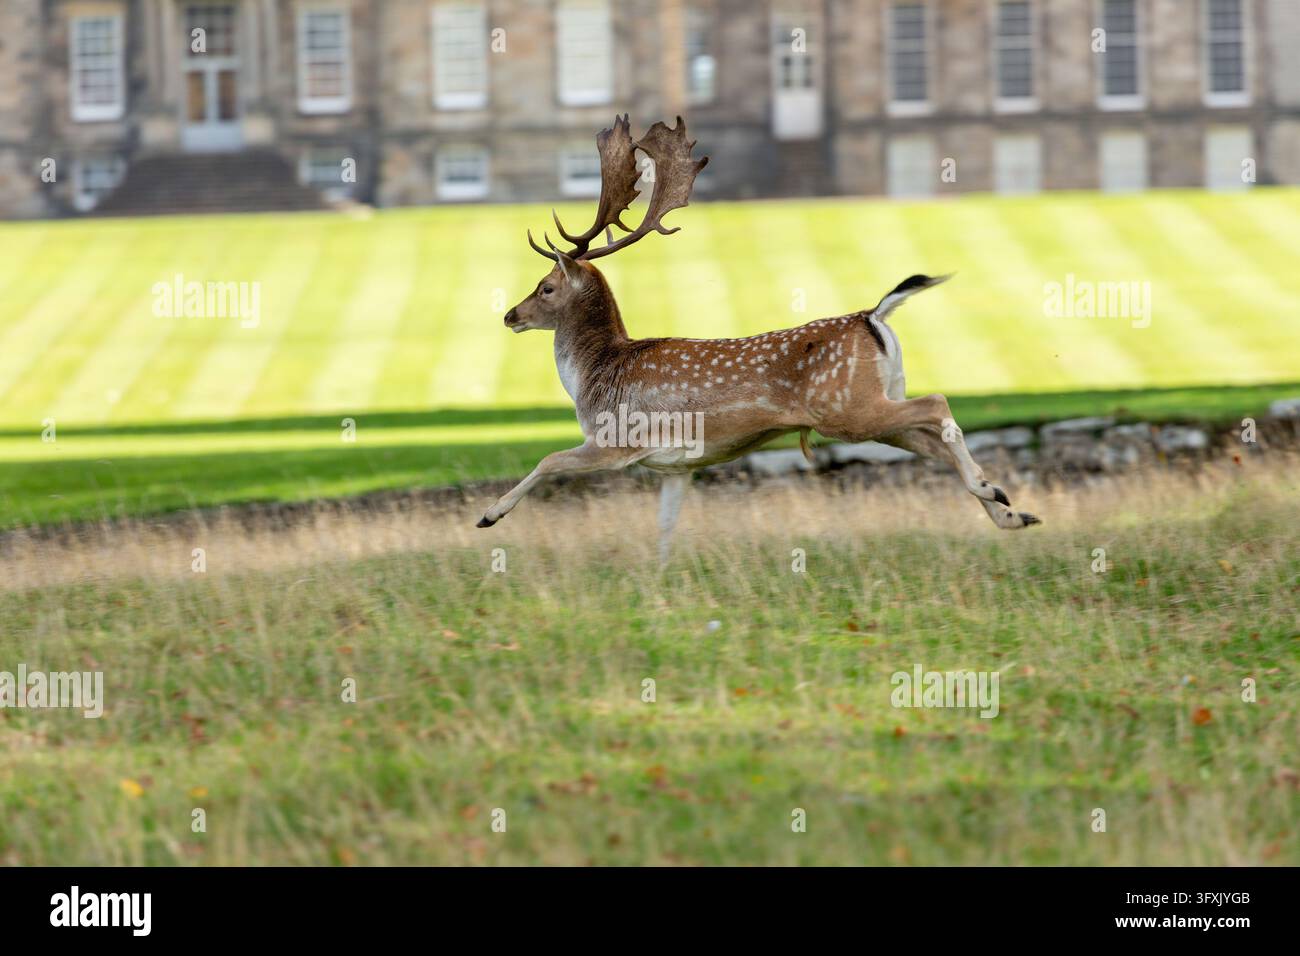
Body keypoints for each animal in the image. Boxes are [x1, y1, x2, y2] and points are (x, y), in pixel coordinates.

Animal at [476, 115, 1040, 557]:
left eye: (546, 286)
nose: (509, 315)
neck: (593, 377)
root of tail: (873, 315)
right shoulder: (675, 467)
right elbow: (665, 529)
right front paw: (662, 585)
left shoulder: (618, 438)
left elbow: (549, 460)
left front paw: (488, 515)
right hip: (874, 404)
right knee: (934, 436)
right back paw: (1010, 509)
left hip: (847, 407)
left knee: (939, 403)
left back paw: (995, 494)